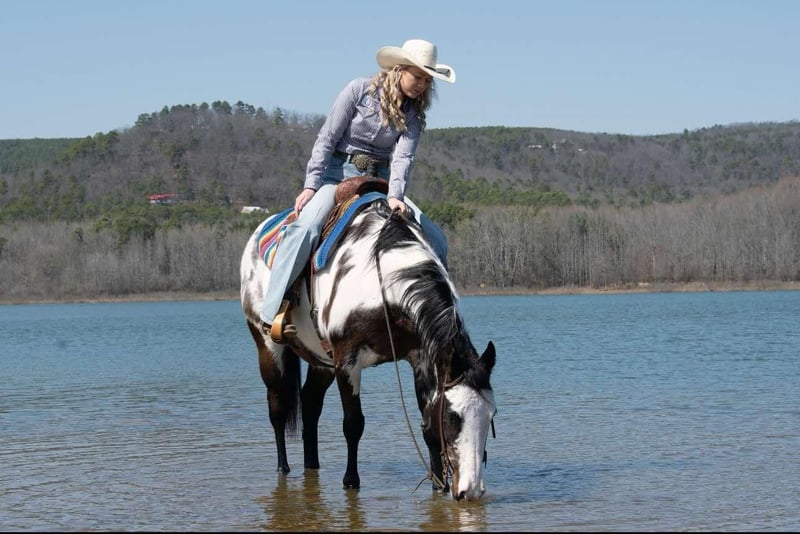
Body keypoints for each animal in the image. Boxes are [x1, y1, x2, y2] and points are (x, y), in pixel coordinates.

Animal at [239, 179, 497, 501]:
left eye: (491, 416)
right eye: (453, 416)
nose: (471, 491)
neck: (382, 282)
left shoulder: (422, 358)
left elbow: (427, 426)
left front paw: (438, 485)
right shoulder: (347, 361)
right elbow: (353, 423)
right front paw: (351, 480)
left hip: (321, 360)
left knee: (310, 404)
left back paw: (312, 466)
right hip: (268, 346)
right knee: (277, 406)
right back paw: (283, 468)